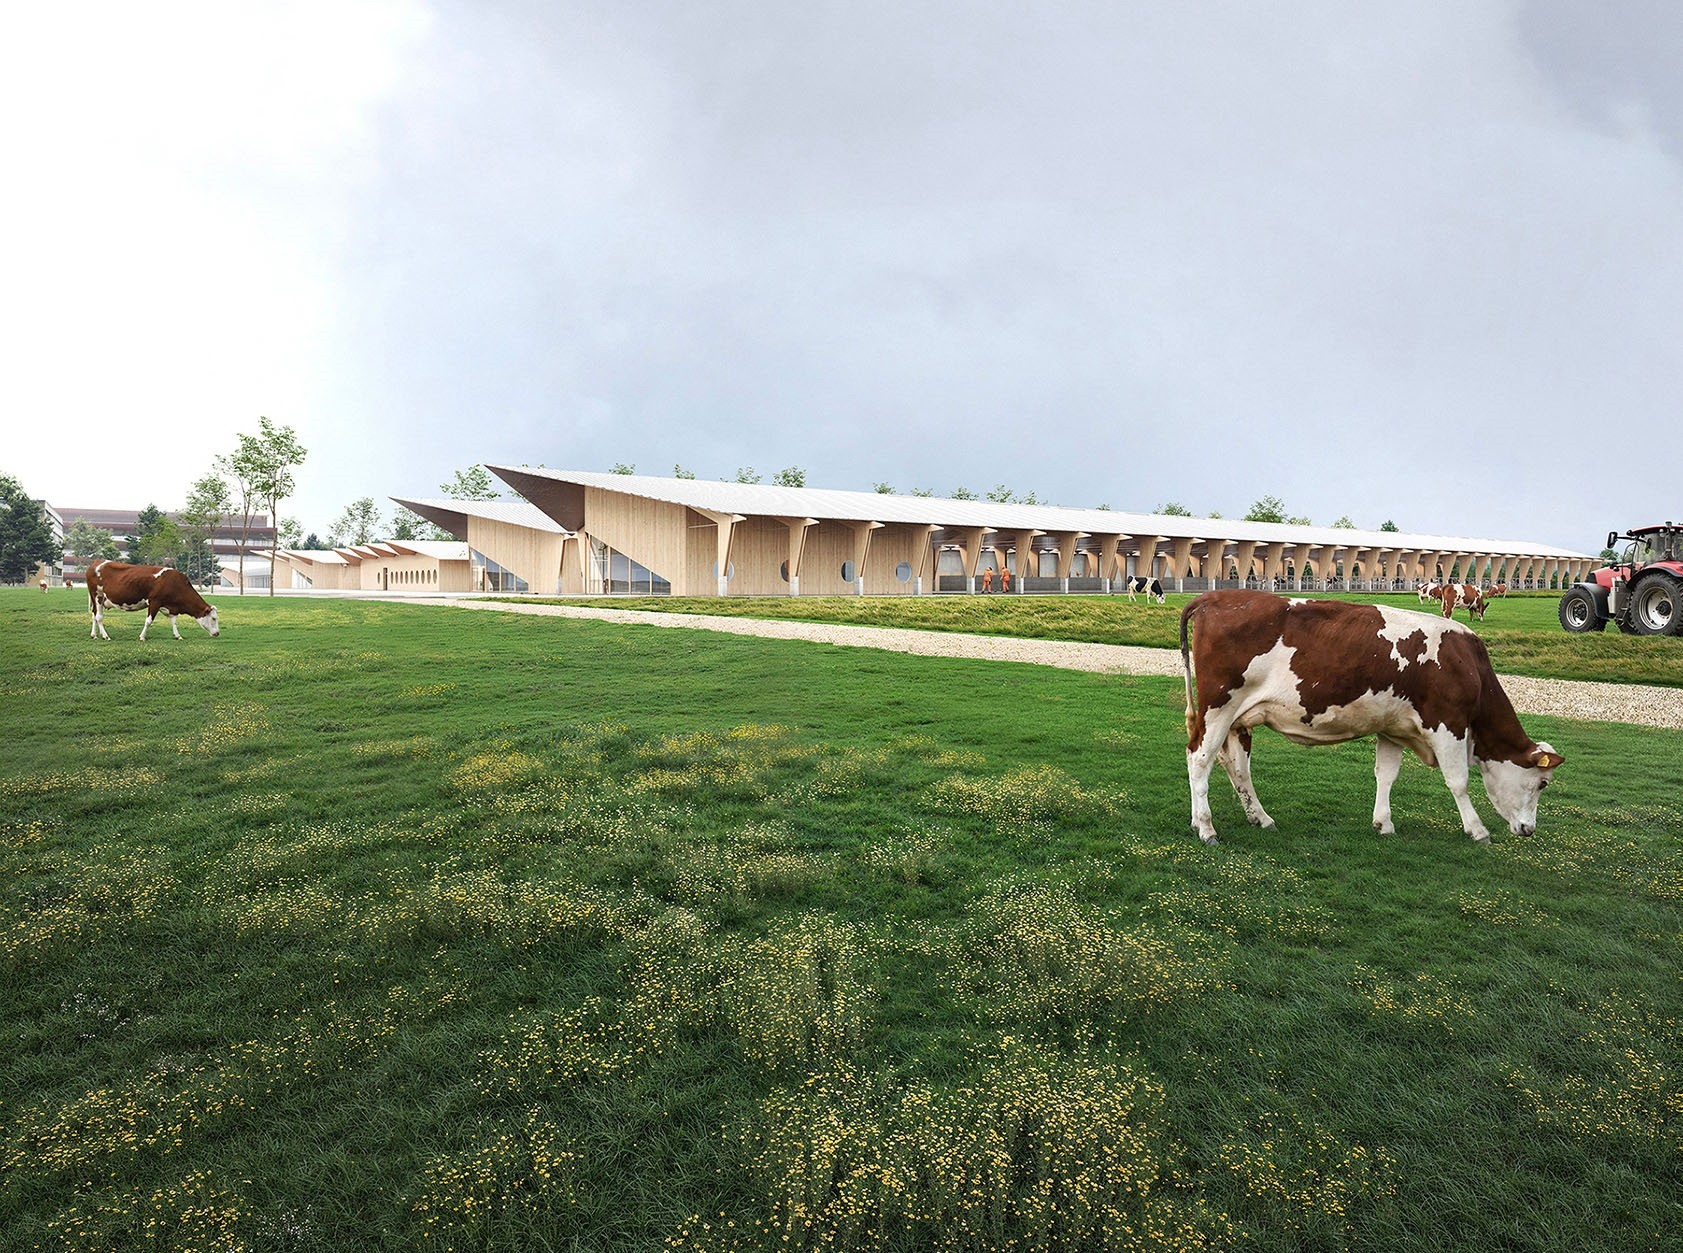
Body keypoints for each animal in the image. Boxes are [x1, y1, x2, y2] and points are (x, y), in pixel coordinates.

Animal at [87, 558, 220, 639]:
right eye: (213, 618)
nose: (218, 633)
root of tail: (96, 562)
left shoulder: (171, 607)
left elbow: (173, 621)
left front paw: (178, 636)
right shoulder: (155, 602)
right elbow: (149, 621)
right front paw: (142, 637)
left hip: (97, 599)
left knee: (94, 615)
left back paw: (94, 635)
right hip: (98, 596)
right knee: (99, 617)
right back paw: (105, 636)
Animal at [1178, 592, 1555, 844]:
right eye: (1542, 783)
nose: (1529, 829)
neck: (1468, 664)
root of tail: (1216, 596)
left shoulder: (1392, 727)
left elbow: (1386, 775)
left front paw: (1383, 823)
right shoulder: (1448, 724)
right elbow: (1458, 781)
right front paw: (1477, 829)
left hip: (1238, 718)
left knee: (1237, 767)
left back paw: (1256, 817)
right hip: (1218, 707)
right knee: (1199, 758)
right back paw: (1206, 827)